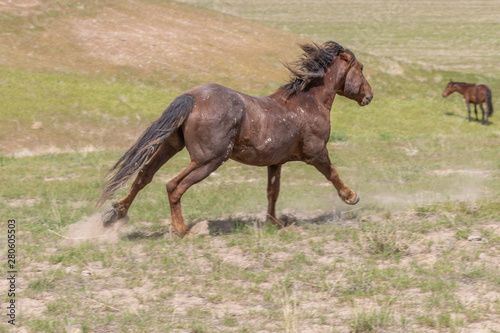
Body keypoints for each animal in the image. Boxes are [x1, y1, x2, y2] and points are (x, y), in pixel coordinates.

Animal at [96, 40, 372, 236]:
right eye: (360, 69)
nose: (369, 96)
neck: (308, 102)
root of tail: (192, 97)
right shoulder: (316, 153)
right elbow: (333, 174)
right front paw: (352, 197)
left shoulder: (276, 162)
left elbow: (273, 191)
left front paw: (274, 222)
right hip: (209, 160)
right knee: (174, 186)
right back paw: (185, 231)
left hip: (171, 146)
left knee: (144, 175)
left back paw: (115, 214)